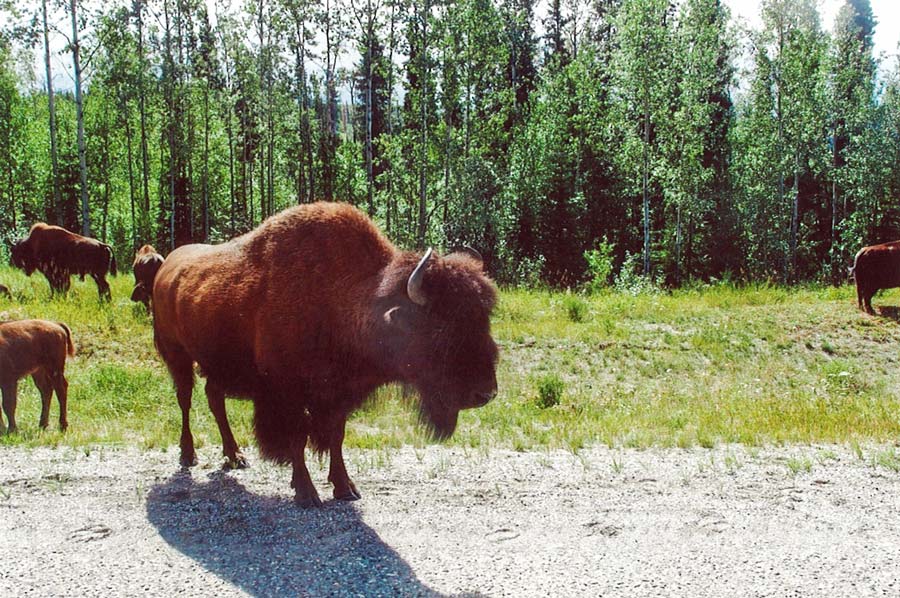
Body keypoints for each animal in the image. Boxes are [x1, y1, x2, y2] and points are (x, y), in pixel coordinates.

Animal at [149, 202, 500, 506]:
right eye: (439, 327)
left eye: (483, 320)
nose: (485, 394)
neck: (342, 300)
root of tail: (167, 266)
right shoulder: (287, 393)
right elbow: (298, 438)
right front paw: (306, 493)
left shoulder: (337, 395)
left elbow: (335, 436)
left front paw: (345, 488)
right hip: (177, 355)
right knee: (185, 399)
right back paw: (188, 455)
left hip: (217, 363)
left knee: (214, 399)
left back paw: (235, 456)